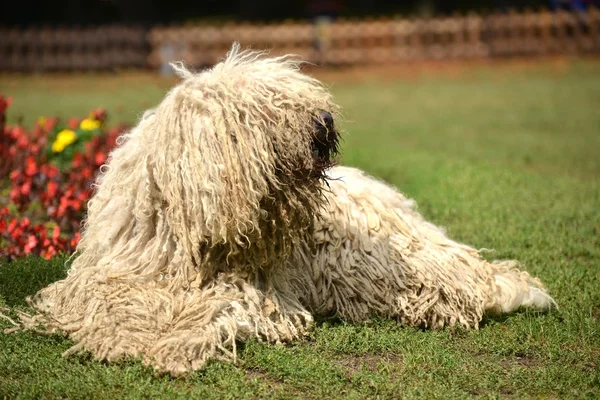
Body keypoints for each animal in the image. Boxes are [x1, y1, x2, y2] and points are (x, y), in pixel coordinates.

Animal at [8, 43, 552, 376]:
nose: (325, 121)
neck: (186, 236)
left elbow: (218, 312)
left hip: (381, 262)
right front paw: (121, 332)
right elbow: (104, 301)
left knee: (464, 281)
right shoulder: (107, 276)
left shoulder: (249, 290)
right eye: (262, 110)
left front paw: (173, 343)